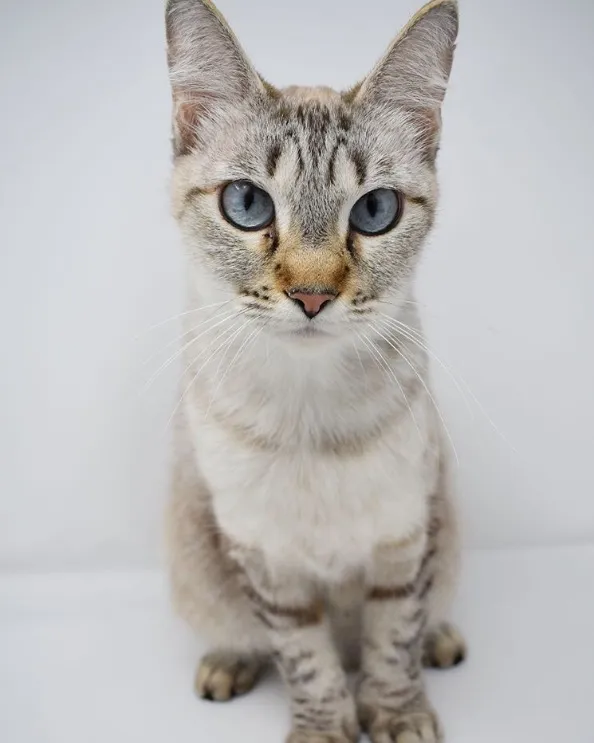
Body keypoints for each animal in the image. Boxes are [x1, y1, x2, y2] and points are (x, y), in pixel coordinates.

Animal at [163, 1, 462, 743]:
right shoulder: (265, 558)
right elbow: (307, 658)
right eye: (246, 204)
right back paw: (226, 665)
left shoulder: (404, 534)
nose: (312, 295)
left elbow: (392, 639)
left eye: (375, 211)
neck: (309, 414)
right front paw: (327, 727)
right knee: (242, 633)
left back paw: (441, 642)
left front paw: (397, 715)